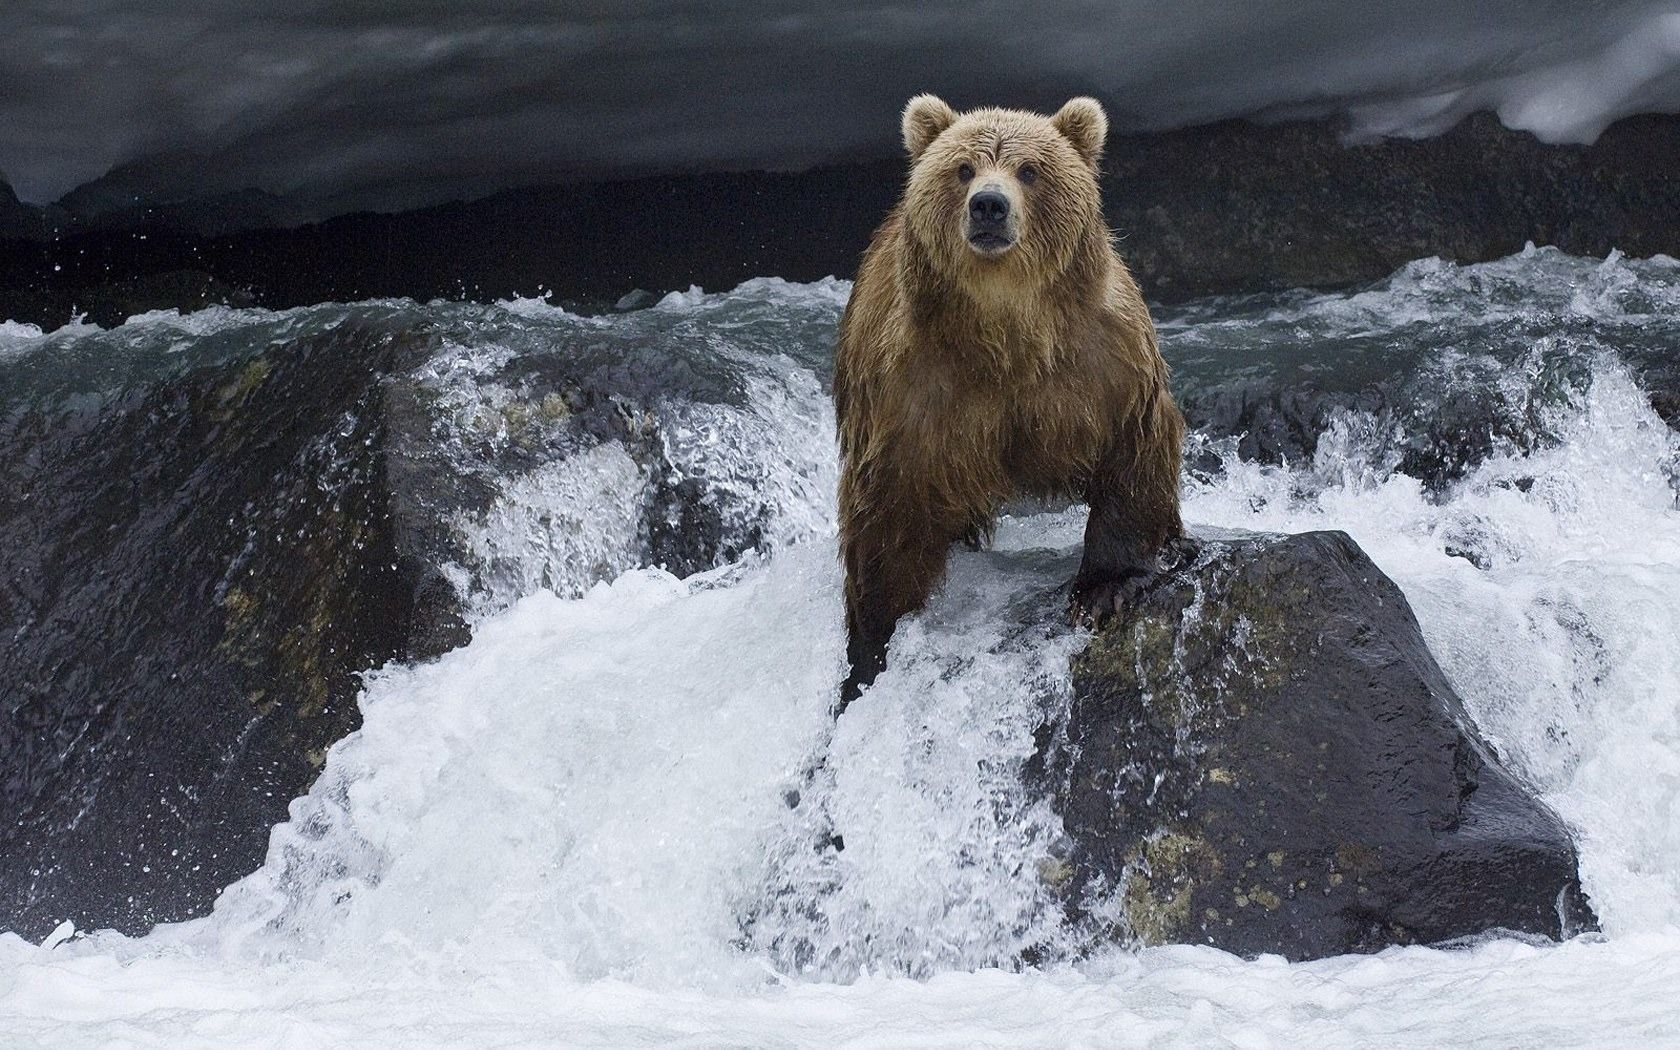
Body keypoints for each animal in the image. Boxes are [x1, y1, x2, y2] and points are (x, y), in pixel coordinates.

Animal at [834, 94, 1185, 711]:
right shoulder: (912, 390)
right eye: (963, 168)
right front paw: (871, 645)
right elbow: (887, 512)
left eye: (1029, 169)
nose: (989, 206)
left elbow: (1132, 452)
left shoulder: (1101, 359)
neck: (1006, 329)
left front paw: (1105, 588)